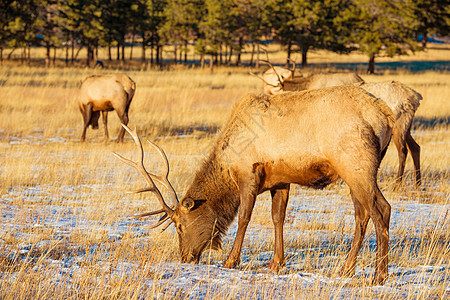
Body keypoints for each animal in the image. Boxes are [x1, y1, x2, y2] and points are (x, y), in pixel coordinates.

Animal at [115, 85, 394, 284]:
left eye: (180, 226)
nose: (185, 257)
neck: (228, 162)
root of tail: (386, 116)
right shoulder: (280, 179)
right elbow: (277, 218)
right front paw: (276, 263)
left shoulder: (249, 172)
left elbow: (244, 218)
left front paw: (231, 261)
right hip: (355, 171)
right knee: (362, 214)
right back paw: (347, 269)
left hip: (355, 164)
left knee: (382, 208)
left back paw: (378, 275)